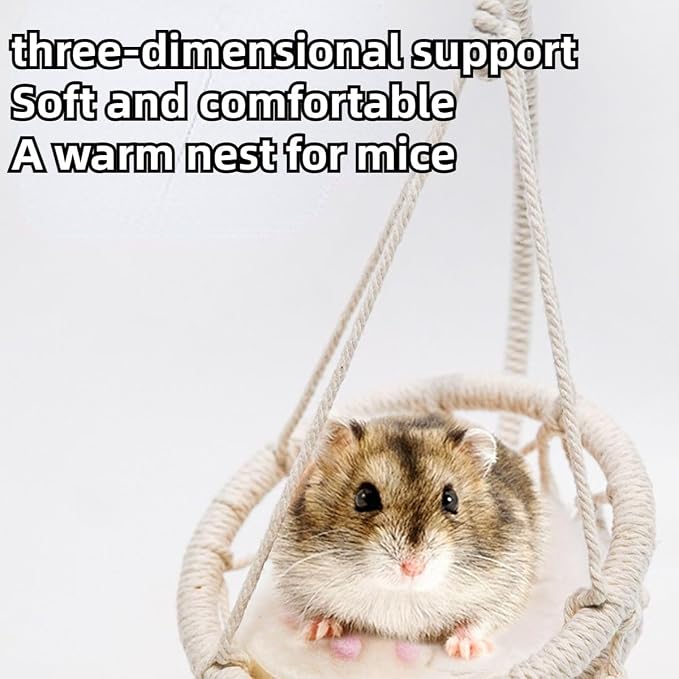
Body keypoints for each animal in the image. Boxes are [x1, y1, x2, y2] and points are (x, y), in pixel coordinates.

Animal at [271, 414, 544, 660]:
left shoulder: (506, 585)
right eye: (364, 497)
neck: (401, 594)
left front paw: (465, 650)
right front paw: (316, 631)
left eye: (451, 499)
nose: (413, 568)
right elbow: (316, 610)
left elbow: (479, 620)